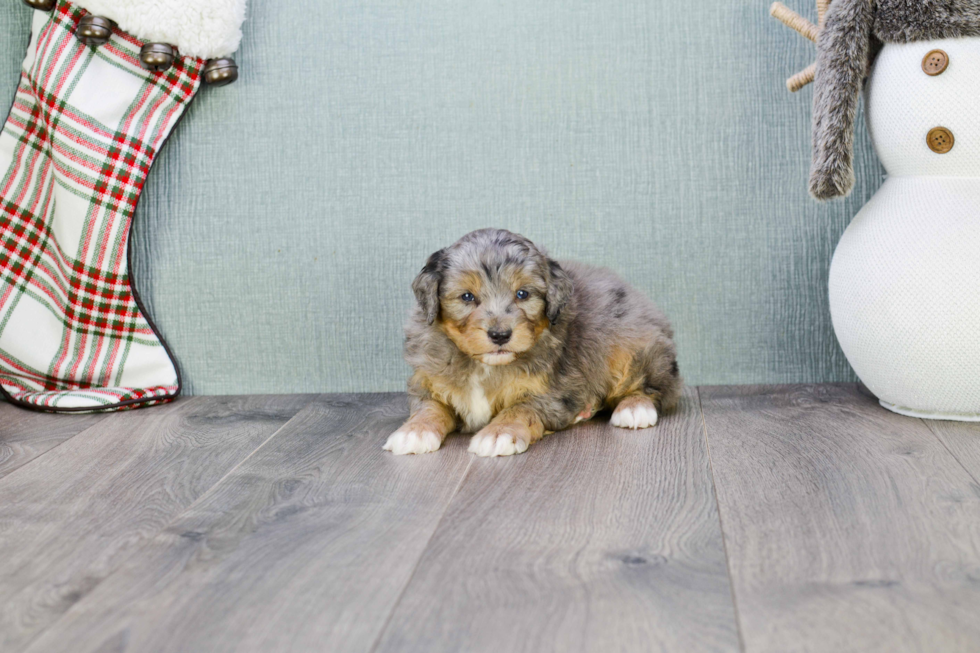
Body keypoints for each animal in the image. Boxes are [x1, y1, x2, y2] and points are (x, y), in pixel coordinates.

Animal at [382, 229, 680, 458]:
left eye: (522, 294)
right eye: (467, 297)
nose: (500, 335)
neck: (485, 365)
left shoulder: (552, 391)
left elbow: (521, 408)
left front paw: (498, 433)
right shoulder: (427, 381)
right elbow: (429, 407)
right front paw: (414, 431)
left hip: (631, 344)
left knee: (658, 386)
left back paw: (634, 408)